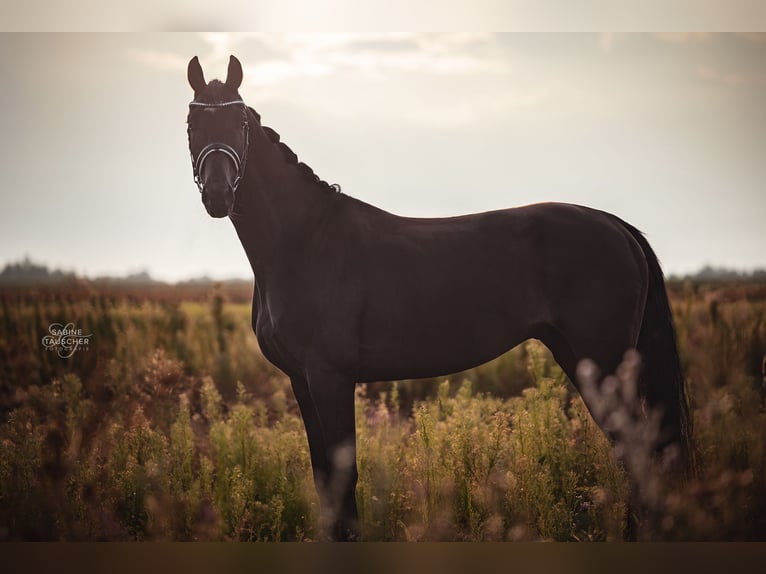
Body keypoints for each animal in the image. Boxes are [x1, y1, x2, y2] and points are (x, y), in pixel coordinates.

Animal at [188, 56, 696, 544]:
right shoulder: (301, 379)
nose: (218, 194)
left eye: (240, 124)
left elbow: (343, 478)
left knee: (637, 451)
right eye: (193, 124)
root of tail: (617, 226)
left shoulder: (330, 377)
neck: (304, 240)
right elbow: (324, 479)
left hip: (603, 363)